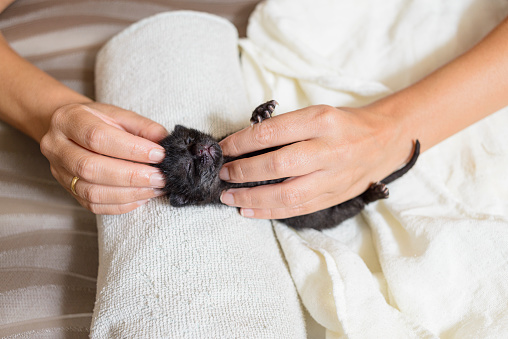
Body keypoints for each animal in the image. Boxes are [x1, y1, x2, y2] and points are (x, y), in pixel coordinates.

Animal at [156, 99, 420, 230]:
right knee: (351, 208)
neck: (227, 162)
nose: (200, 150)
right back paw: (374, 194)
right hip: (325, 216)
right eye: (189, 169)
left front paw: (261, 112)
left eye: (189, 140)